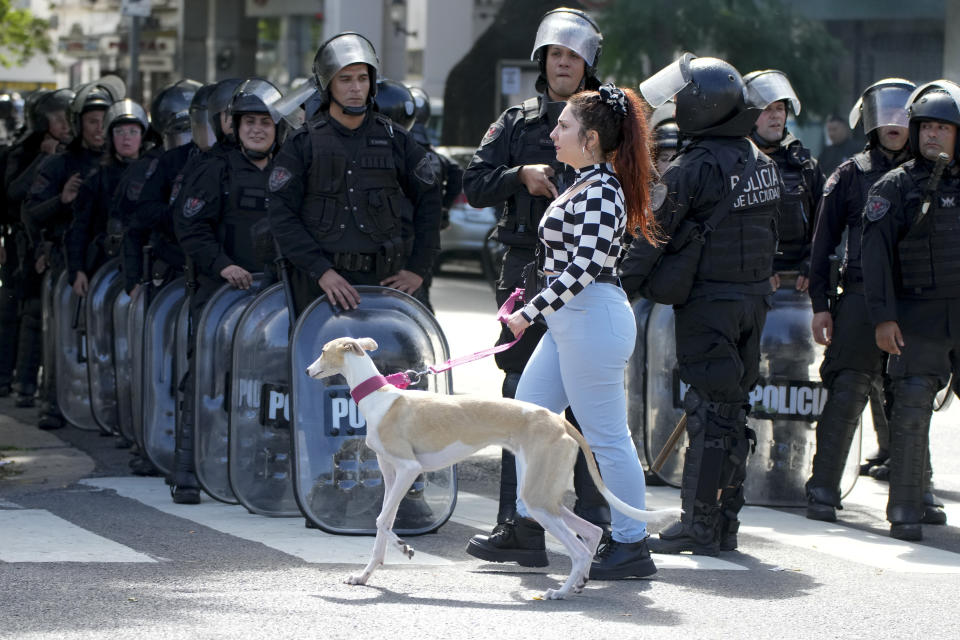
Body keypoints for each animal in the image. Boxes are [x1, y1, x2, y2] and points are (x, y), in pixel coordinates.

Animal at [306, 338, 676, 596]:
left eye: (323, 351)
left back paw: (560, 592)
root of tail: (561, 422)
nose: (308, 371)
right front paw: (368, 573)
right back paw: (580, 582)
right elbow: (384, 522)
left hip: (538, 496)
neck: (381, 399)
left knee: (580, 549)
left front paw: (400, 551)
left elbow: (382, 520)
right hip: (544, 494)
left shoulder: (409, 468)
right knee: (592, 531)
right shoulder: (392, 473)